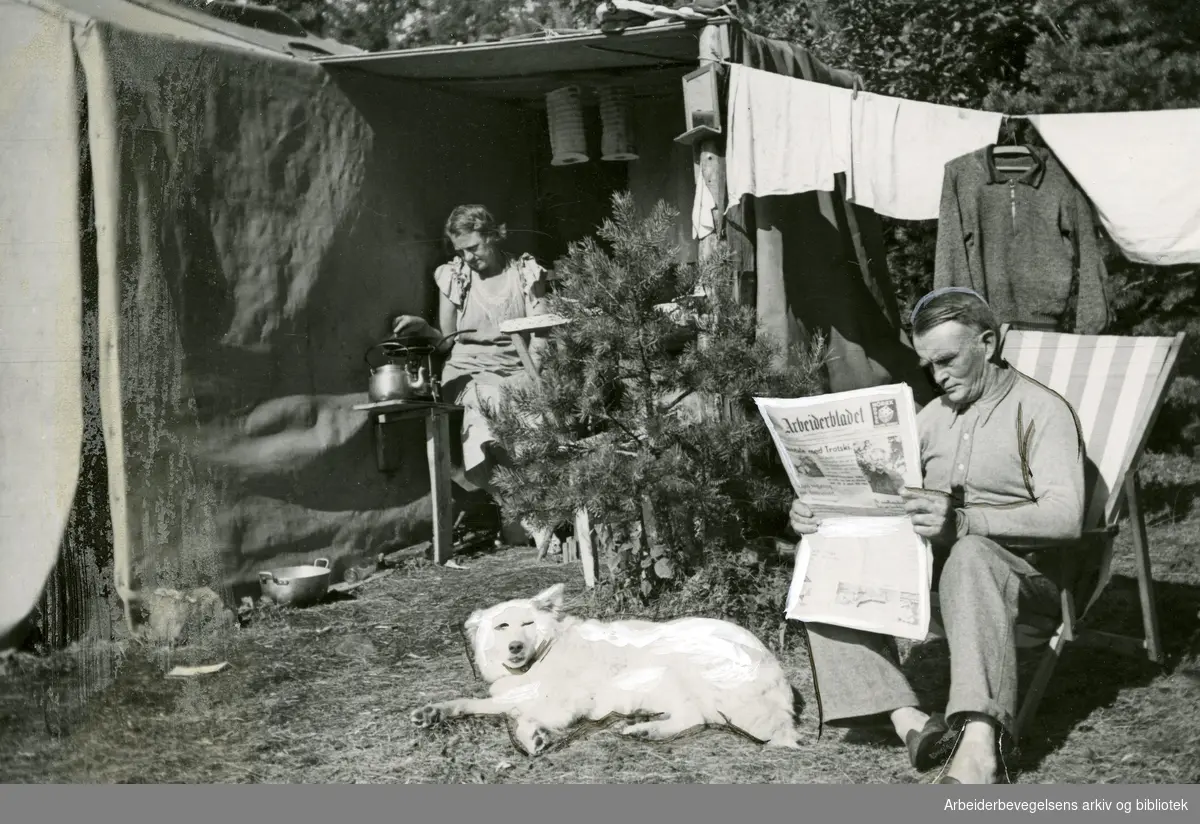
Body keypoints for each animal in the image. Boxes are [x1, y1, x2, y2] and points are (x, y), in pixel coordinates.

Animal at [412, 580, 806, 753]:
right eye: (502, 627)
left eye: (526, 624)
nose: (515, 647)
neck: (542, 658)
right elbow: (472, 702)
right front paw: (434, 712)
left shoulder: (565, 701)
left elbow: (524, 717)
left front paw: (534, 735)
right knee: (693, 717)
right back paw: (644, 728)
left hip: (674, 663)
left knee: (698, 717)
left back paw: (646, 730)